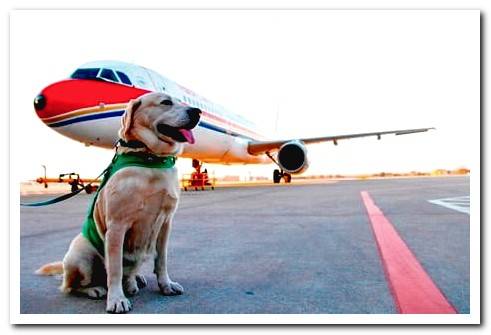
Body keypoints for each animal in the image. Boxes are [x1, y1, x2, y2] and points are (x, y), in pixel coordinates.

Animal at [36, 92, 202, 316]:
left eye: (182, 101)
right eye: (166, 102)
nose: (197, 112)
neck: (150, 159)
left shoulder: (166, 223)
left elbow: (162, 260)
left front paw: (166, 285)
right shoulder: (117, 226)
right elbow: (114, 269)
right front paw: (116, 299)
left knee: (130, 271)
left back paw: (134, 281)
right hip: (80, 254)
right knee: (72, 286)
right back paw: (96, 289)